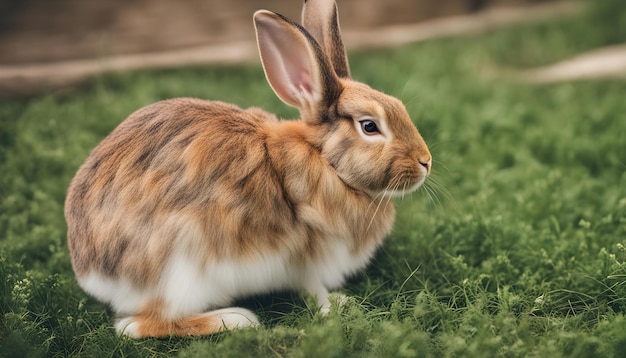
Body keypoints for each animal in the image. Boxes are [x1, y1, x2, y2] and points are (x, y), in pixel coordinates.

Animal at [66, 0, 432, 338]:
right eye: (370, 126)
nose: (425, 162)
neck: (326, 162)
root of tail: (92, 272)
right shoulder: (311, 257)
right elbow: (315, 289)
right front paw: (334, 308)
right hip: (183, 269)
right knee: (138, 326)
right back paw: (236, 319)